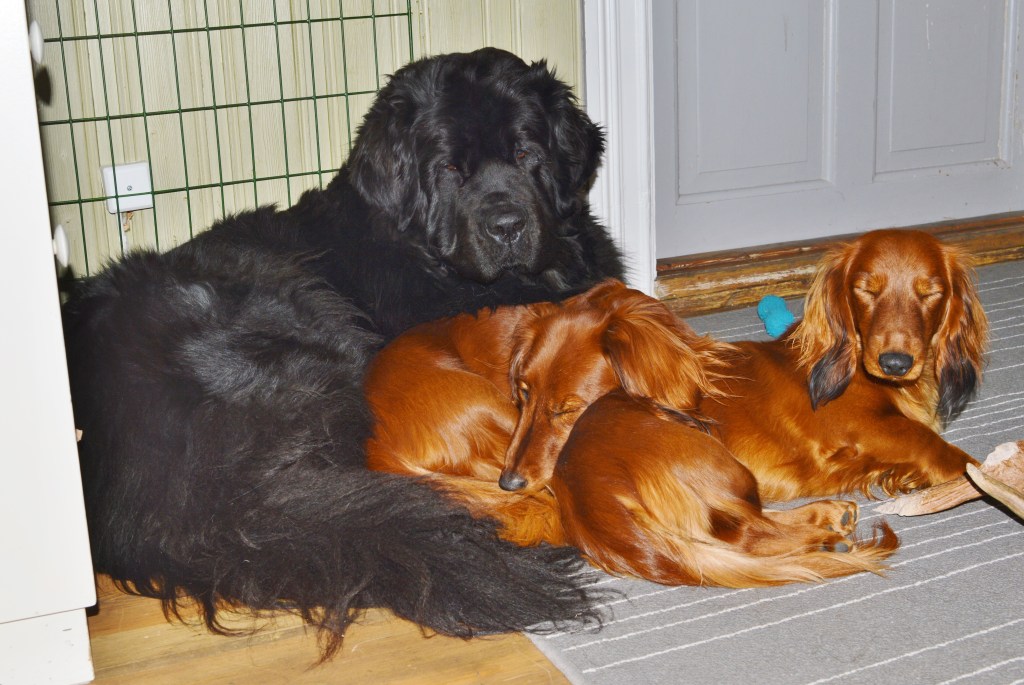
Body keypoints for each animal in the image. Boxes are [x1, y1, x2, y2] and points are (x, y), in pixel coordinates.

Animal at [367, 280, 898, 586]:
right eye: (523, 393)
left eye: (567, 409)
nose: (509, 483)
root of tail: (375, 448)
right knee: (748, 530)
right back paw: (827, 524)